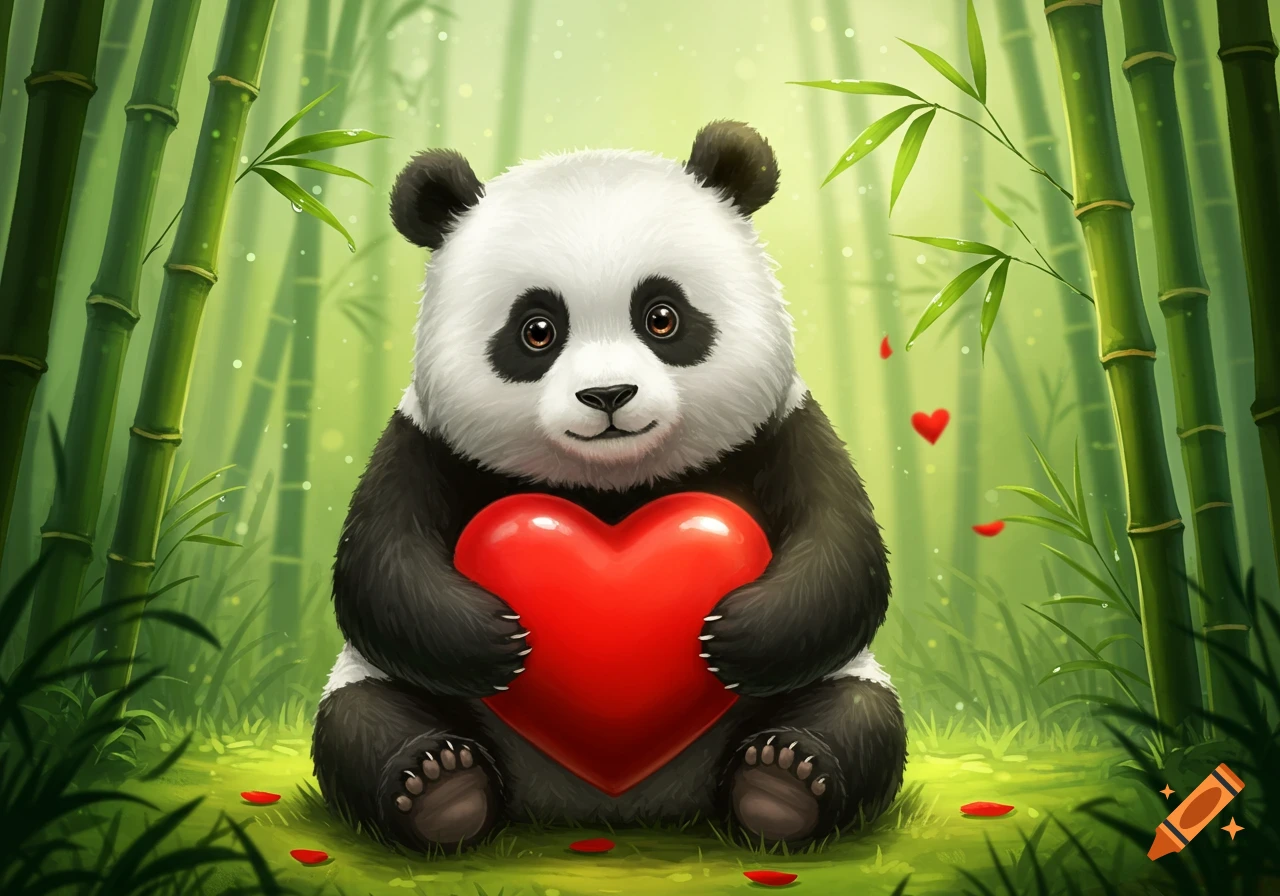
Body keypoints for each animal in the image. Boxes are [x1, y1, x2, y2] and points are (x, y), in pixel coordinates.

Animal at [313, 121, 907, 852]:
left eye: (662, 317)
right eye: (537, 330)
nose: (607, 395)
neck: (612, 484)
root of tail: (606, 805)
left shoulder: (784, 427)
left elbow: (843, 550)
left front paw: (734, 635)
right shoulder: (423, 443)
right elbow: (378, 565)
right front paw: (498, 641)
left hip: (828, 687)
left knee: (858, 714)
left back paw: (782, 782)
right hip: (381, 688)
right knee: (361, 719)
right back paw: (440, 788)